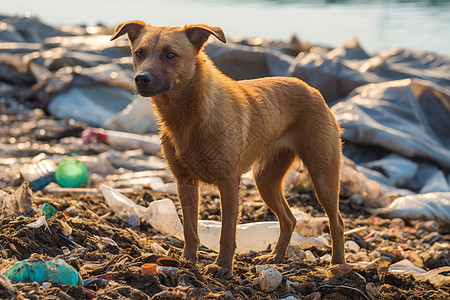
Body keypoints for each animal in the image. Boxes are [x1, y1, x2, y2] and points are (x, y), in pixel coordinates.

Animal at [111, 21, 344, 278]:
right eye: (138, 53)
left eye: (170, 55)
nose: (141, 78)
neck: (191, 115)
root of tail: (312, 89)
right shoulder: (185, 183)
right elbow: (190, 230)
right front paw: (188, 261)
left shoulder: (229, 182)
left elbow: (227, 233)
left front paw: (222, 267)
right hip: (266, 180)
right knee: (289, 219)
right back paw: (276, 257)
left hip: (322, 177)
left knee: (337, 222)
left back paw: (338, 265)